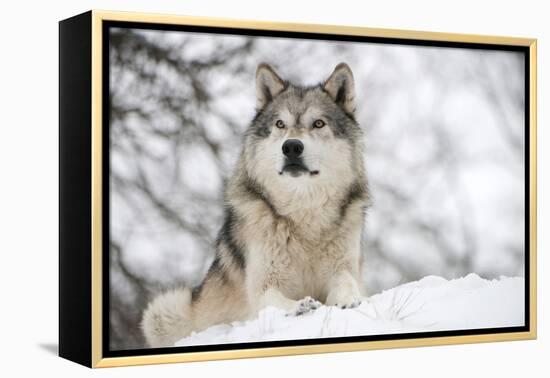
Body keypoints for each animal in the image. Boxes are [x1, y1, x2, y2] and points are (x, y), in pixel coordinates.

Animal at [143, 62, 370, 348]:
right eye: (280, 124)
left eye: (318, 123)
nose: (291, 146)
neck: (303, 216)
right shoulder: (261, 286)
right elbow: (273, 299)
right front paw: (299, 306)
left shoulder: (344, 268)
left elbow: (346, 284)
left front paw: (348, 300)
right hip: (164, 309)